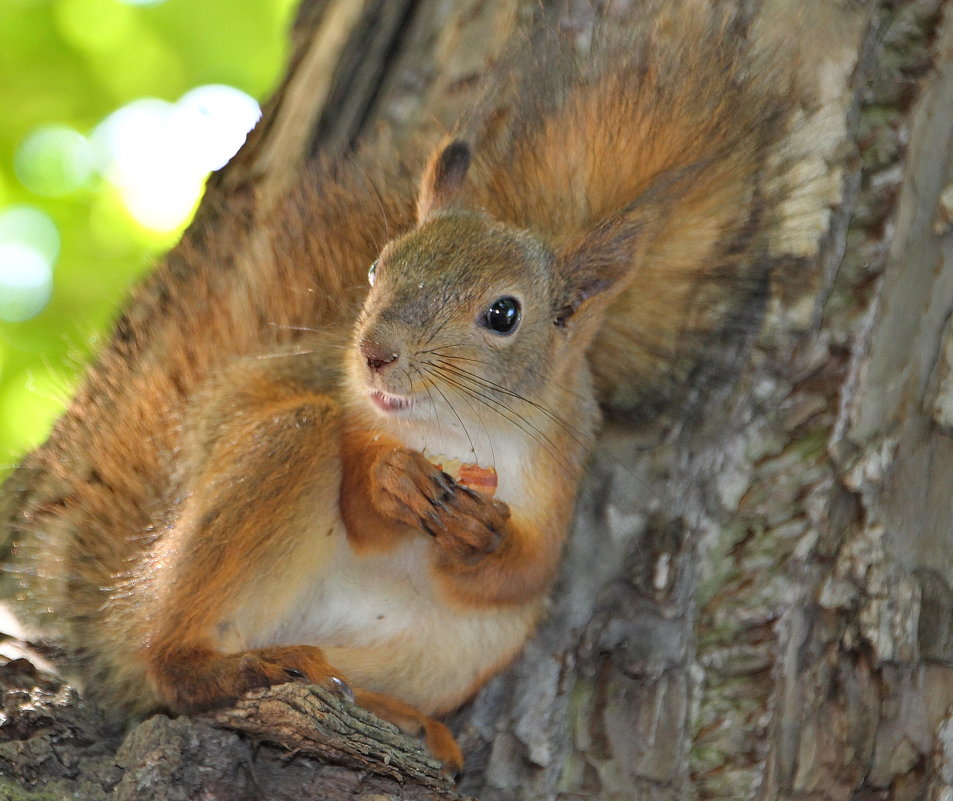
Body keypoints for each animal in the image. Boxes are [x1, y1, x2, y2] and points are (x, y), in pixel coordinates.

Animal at [0, 3, 788, 772]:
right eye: (379, 267)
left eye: (503, 314)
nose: (375, 354)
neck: (455, 428)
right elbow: (345, 485)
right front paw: (389, 481)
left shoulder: (564, 472)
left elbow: (529, 567)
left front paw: (480, 537)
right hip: (256, 486)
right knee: (173, 661)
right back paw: (237, 665)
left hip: (458, 648)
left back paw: (405, 719)